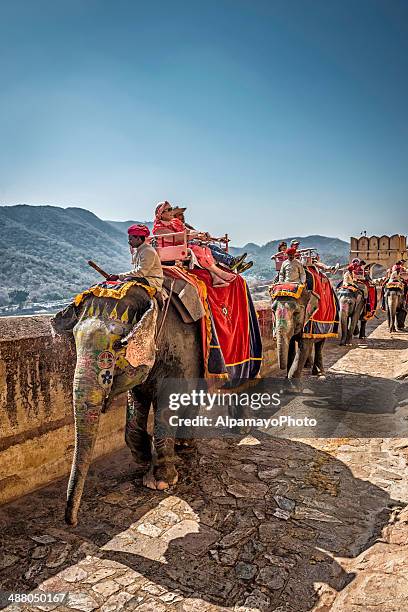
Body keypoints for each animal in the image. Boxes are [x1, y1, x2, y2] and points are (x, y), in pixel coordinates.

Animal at [52, 284, 202, 528]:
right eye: (74, 340)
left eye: (118, 344)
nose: (72, 522)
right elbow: (136, 398)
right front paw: (142, 457)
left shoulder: (179, 352)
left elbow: (167, 403)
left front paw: (160, 482)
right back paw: (182, 444)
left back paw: (185, 445)